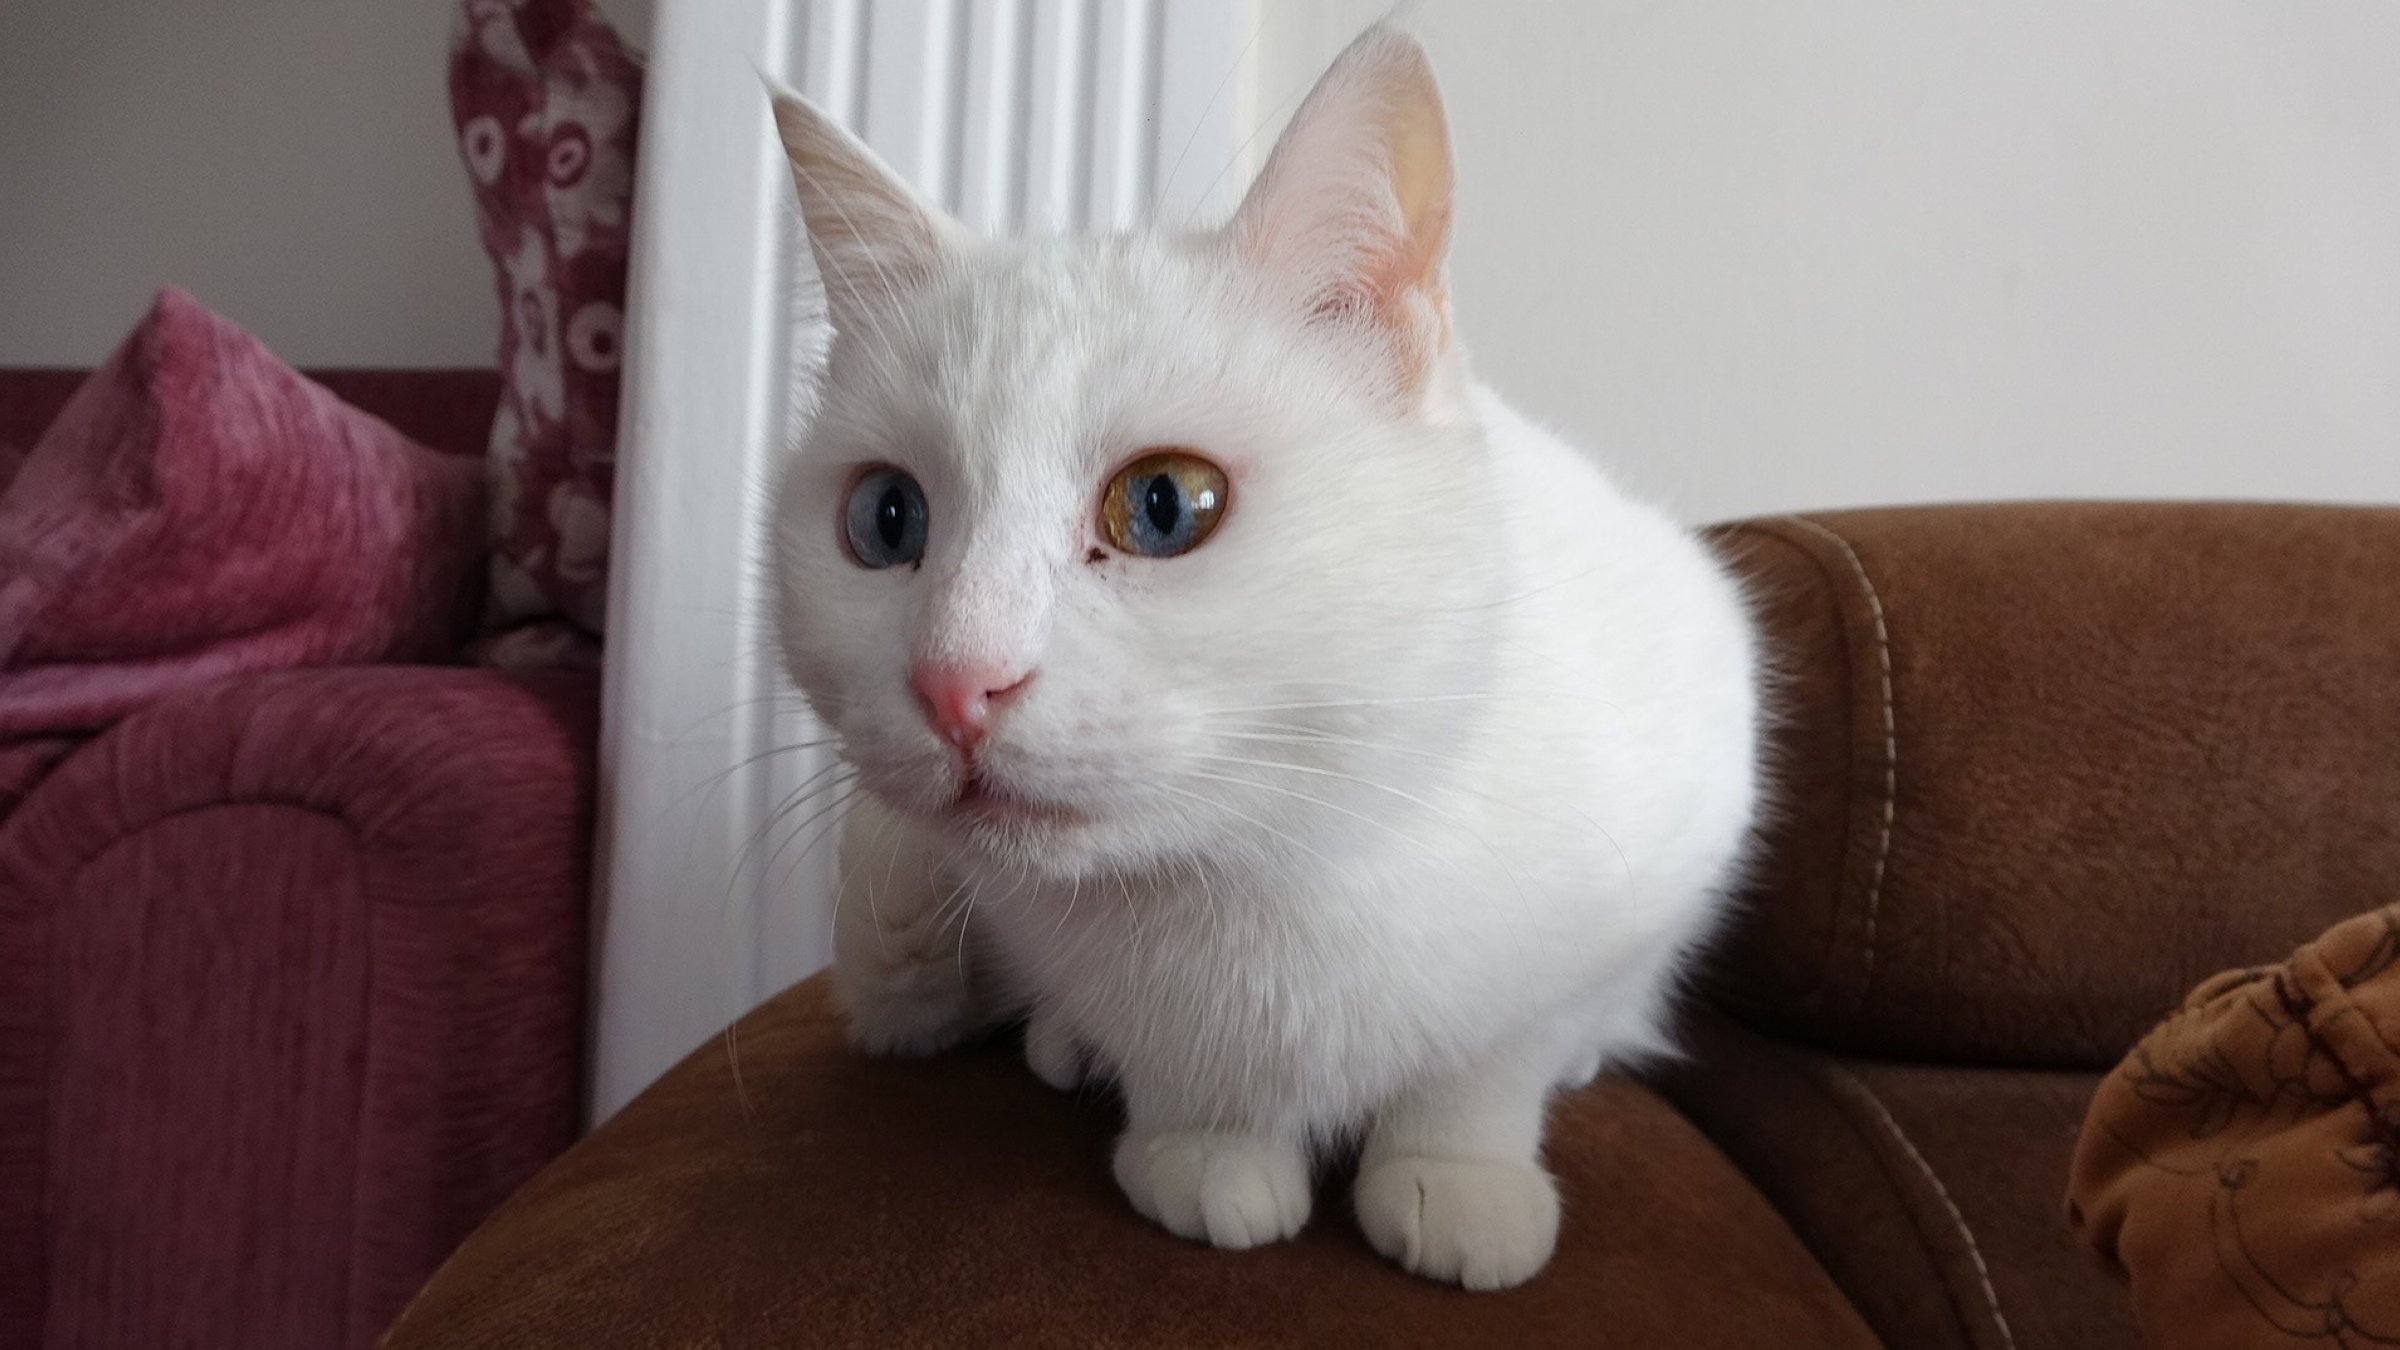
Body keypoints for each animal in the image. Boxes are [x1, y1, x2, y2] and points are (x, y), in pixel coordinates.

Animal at [768, 18, 1766, 1277]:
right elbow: (1193, 1089)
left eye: (1164, 506)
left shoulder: (1672, 808)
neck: (1246, 880)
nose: (957, 682)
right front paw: (1206, 1147)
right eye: (887, 519)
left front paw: (1460, 1176)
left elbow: (1494, 1055)